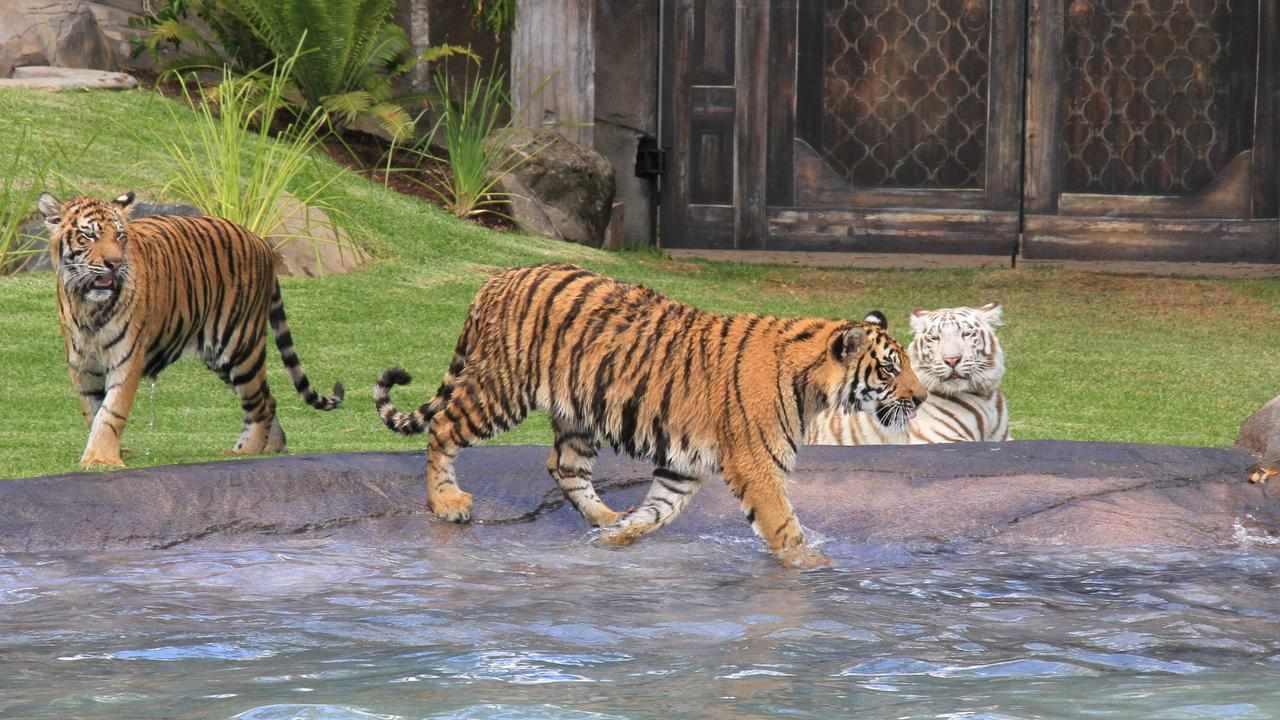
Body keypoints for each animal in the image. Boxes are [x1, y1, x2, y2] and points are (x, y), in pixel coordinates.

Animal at [38, 191, 344, 470]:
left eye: (120, 236)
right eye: (88, 236)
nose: (115, 264)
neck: (88, 305)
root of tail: (260, 241)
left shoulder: (127, 360)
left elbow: (111, 412)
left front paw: (102, 460)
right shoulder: (83, 365)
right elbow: (93, 411)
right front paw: (108, 453)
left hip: (239, 345)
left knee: (260, 404)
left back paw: (245, 452)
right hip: (220, 358)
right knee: (269, 400)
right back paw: (271, 448)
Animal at [373, 263, 926, 569]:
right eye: (891, 369)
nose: (921, 397)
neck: (812, 385)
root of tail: (497, 280)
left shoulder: (684, 466)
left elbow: (658, 509)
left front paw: (620, 538)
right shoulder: (756, 466)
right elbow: (784, 524)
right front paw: (811, 564)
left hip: (578, 415)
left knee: (563, 466)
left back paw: (604, 518)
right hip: (501, 392)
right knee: (442, 429)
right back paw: (447, 503)